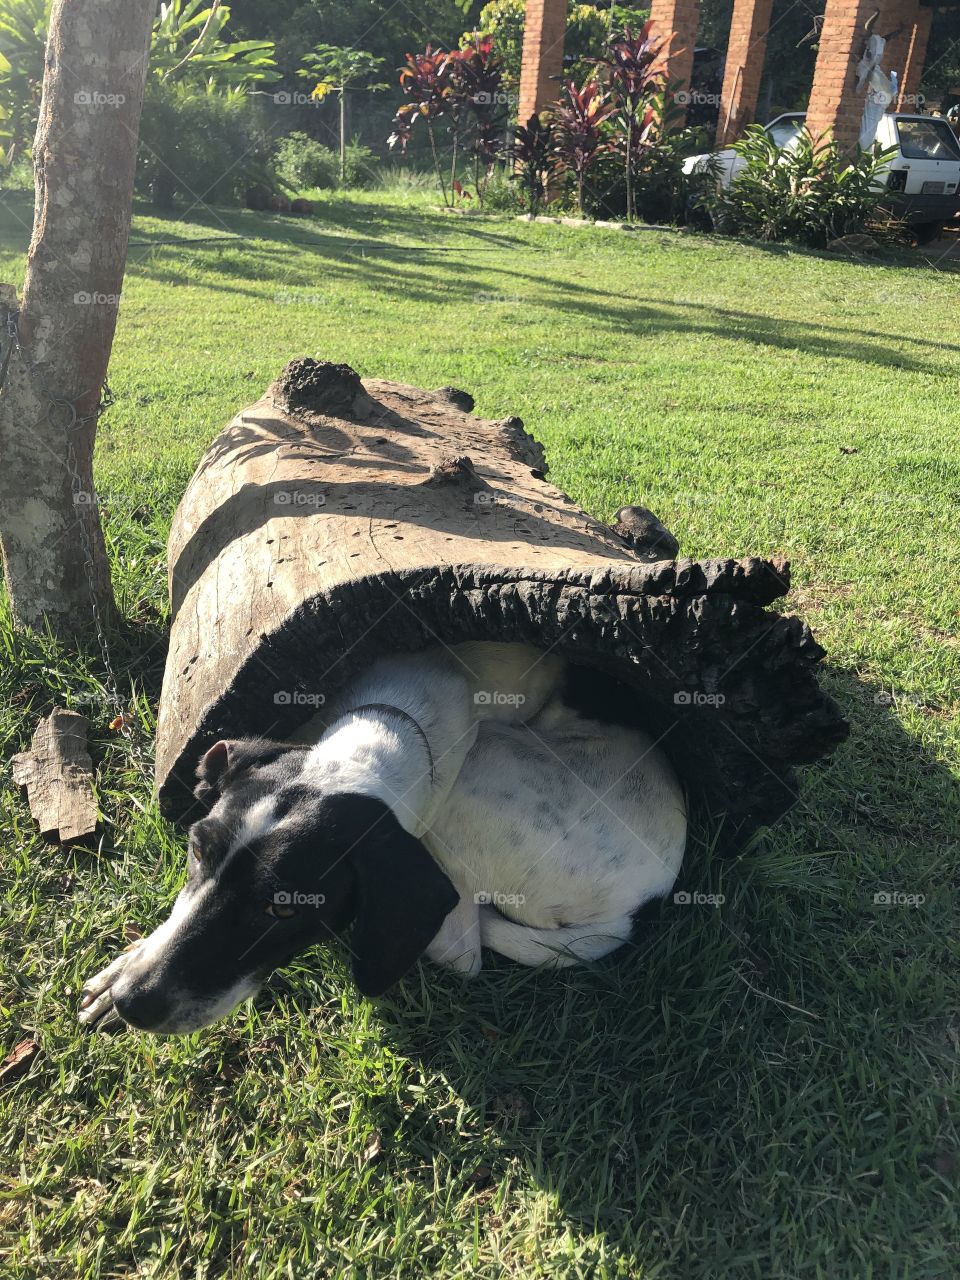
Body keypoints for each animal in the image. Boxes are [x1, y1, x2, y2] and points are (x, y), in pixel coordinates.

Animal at [79, 645, 686, 1034]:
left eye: (284, 909)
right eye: (197, 850)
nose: (133, 1002)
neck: (393, 717)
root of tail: (639, 903)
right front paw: (125, 963)